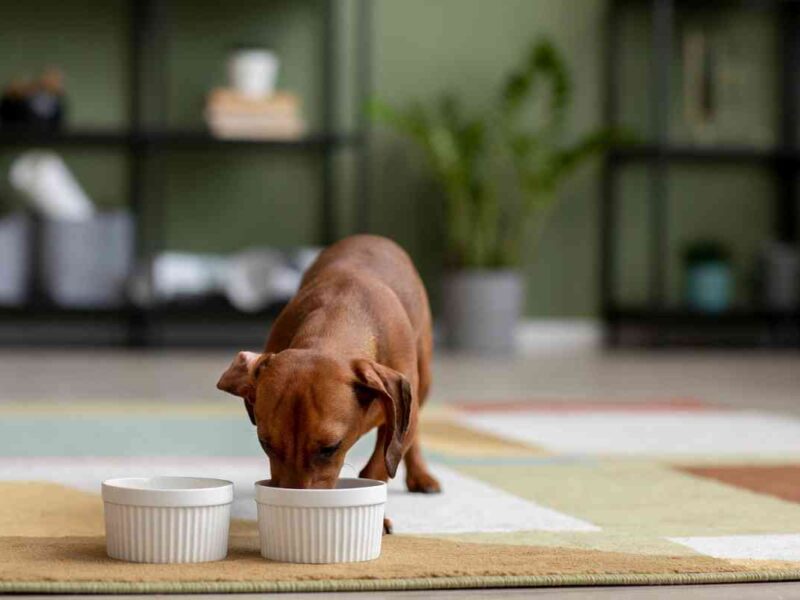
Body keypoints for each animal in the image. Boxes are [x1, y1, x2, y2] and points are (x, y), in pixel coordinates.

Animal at [216, 236, 440, 506]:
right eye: (265, 443)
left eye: (330, 448)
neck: (340, 313)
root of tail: (371, 237)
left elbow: (378, 466)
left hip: (422, 382)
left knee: (409, 434)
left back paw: (420, 474)